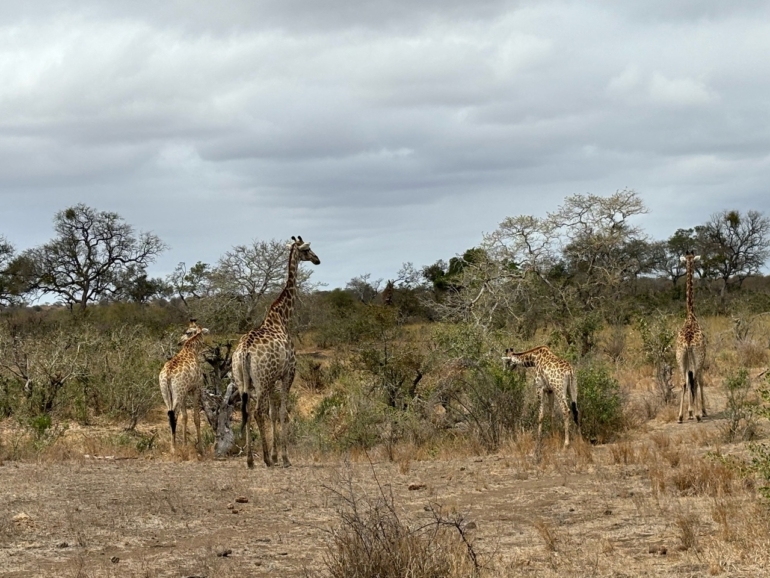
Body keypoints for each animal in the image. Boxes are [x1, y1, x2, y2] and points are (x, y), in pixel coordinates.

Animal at [158, 318, 210, 452]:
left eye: (187, 332)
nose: (178, 342)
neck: (192, 349)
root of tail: (168, 374)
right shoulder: (196, 389)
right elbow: (196, 417)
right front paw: (200, 448)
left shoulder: (185, 393)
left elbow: (185, 417)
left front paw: (185, 445)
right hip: (178, 392)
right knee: (174, 415)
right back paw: (174, 449)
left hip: (166, 393)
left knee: (170, 414)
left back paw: (174, 446)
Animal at [232, 233, 320, 464]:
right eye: (307, 249)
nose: (317, 259)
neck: (282, 317)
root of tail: (244, 352)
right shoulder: (287, 374)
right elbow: (283, 414)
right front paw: (284, 458)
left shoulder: (273, 379)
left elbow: (273, 414)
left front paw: (276, 454)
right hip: (261, 381)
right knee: (256, 412)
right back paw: (264, 459)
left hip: (242, 380)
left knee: (247, 412)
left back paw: (250, 460)